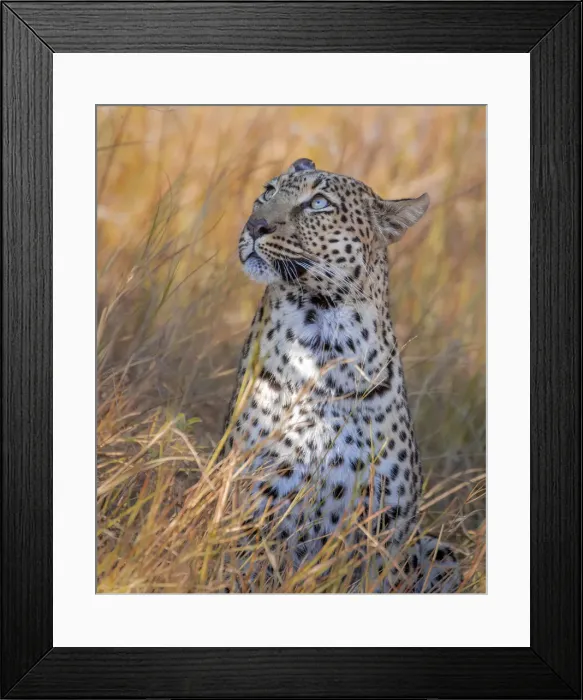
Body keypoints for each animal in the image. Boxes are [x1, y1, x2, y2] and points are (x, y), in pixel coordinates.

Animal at [223, 157, 460, 593]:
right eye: (268, 191)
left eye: (319, 203)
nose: (254, 225)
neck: (323, 341)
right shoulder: (255, 506)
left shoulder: (384, 528)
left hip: (441, 551)